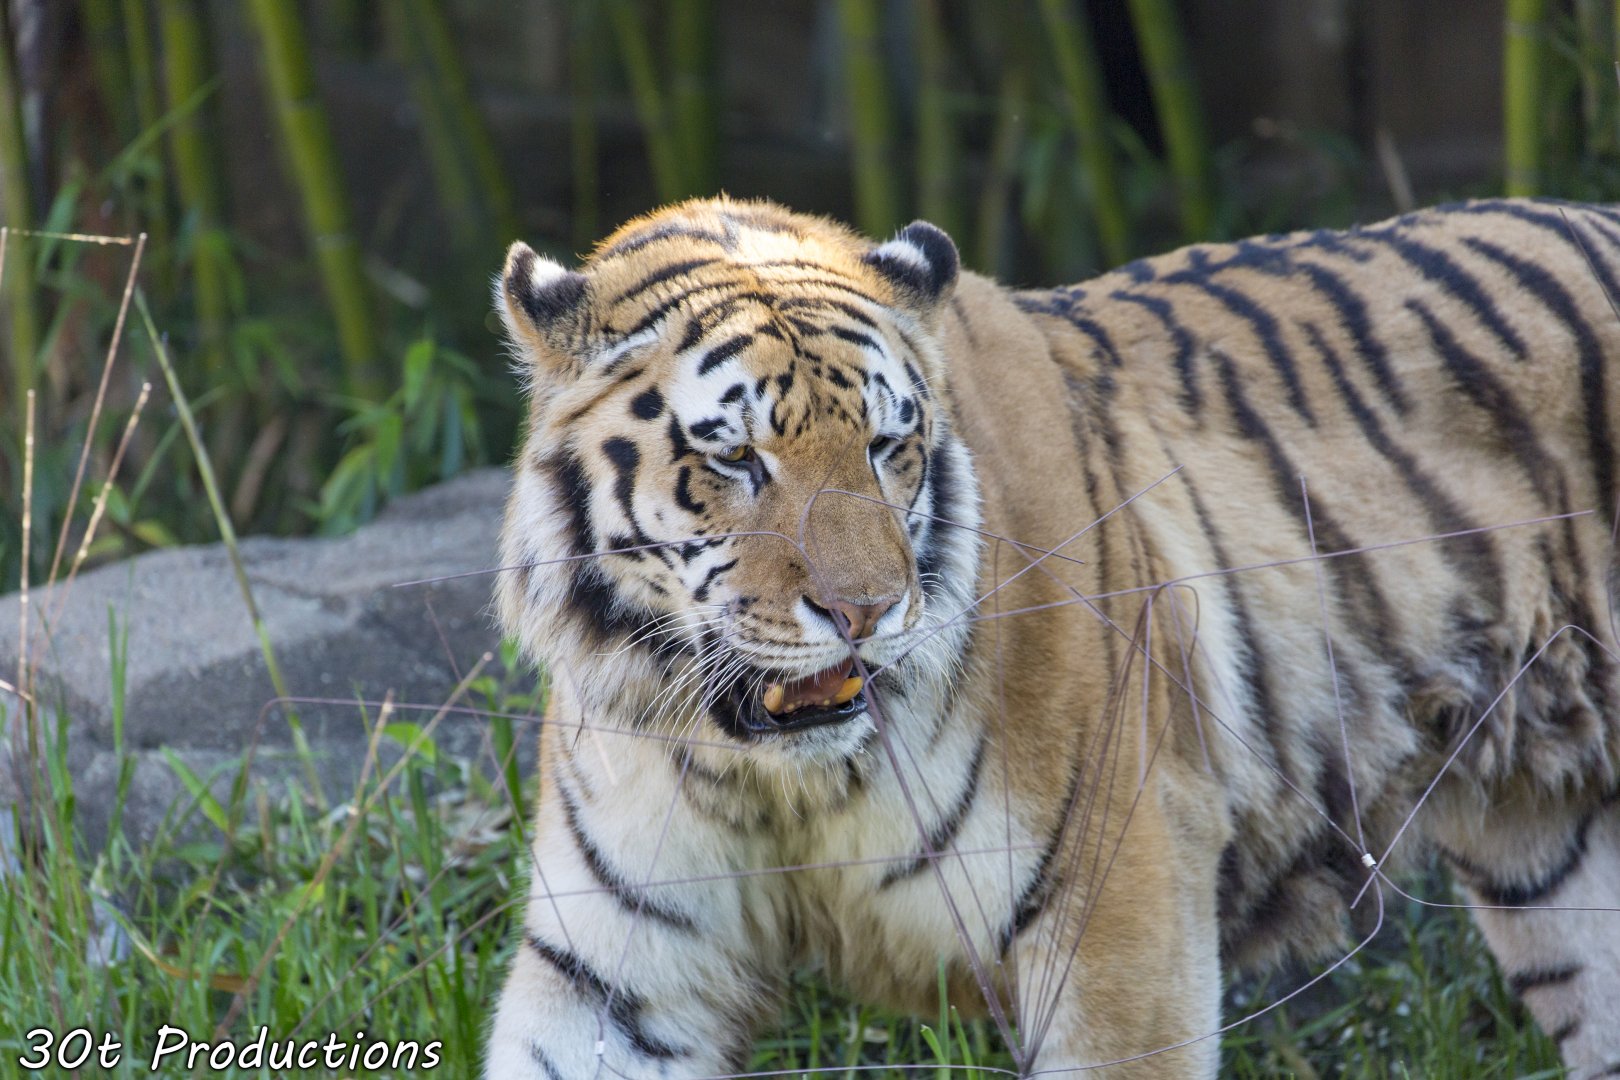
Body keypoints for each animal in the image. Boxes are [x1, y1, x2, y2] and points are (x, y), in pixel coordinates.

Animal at [483, 195, 1620, 1079]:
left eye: (889, 446)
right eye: (735, 460)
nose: (866, 611)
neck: (779, 780)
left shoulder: (1121, 914)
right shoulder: (612, 976)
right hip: (1553, 852)